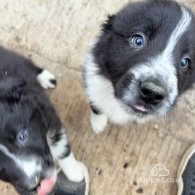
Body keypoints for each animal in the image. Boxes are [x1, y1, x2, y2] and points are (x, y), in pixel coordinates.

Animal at [0, 47, 86, 195]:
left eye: (22, 136)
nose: (36, 183)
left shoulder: (50, 119)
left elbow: (62, 150)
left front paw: (75, 173)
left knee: (28, 64)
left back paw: (45, 77)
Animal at [83, 0, 195, 133]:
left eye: (184, 62)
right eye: (138, 40)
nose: (152, 93)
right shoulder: (93, 86)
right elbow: (97, 107)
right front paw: (98, 125)